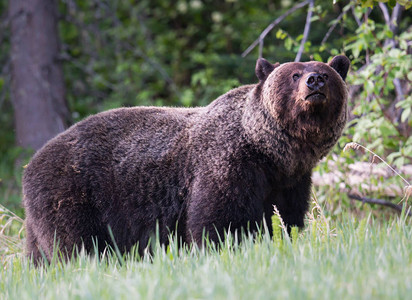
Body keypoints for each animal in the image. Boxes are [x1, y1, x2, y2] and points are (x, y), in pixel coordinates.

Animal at [24, 55, 350, 262]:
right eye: (294, 74)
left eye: (326, 73)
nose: (314, 81)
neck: (271, 152)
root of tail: (31, 162)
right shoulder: (228, 164)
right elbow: (217, 220)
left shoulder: (290, 181)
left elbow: (286, 219)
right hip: (73, 192)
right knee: (75, 243)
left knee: (39, 254)